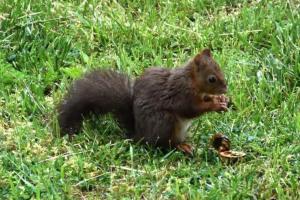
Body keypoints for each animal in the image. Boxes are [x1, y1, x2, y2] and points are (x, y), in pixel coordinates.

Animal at [58, 49, 227, 155]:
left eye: (220, 68)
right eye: (211, 79)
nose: (225, 89)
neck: (191, 80)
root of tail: (139, 135)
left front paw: (221, 100)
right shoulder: (181, 94)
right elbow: (191, 109)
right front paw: (215, 104)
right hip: (164, 122)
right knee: (166, 144)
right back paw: (181, 146)